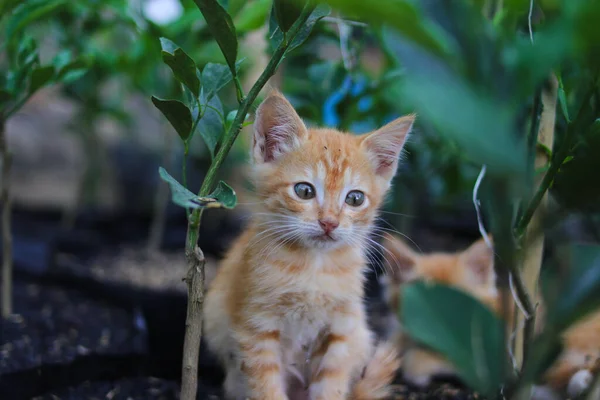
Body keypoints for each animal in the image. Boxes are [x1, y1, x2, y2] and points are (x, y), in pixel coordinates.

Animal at [204, 91, 414, 400]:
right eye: (304, 191)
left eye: (355, 199)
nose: (329, 223)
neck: (314, 266)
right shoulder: (257, 326)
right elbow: (266, 387)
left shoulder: (342, 329)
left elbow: (331, 385)